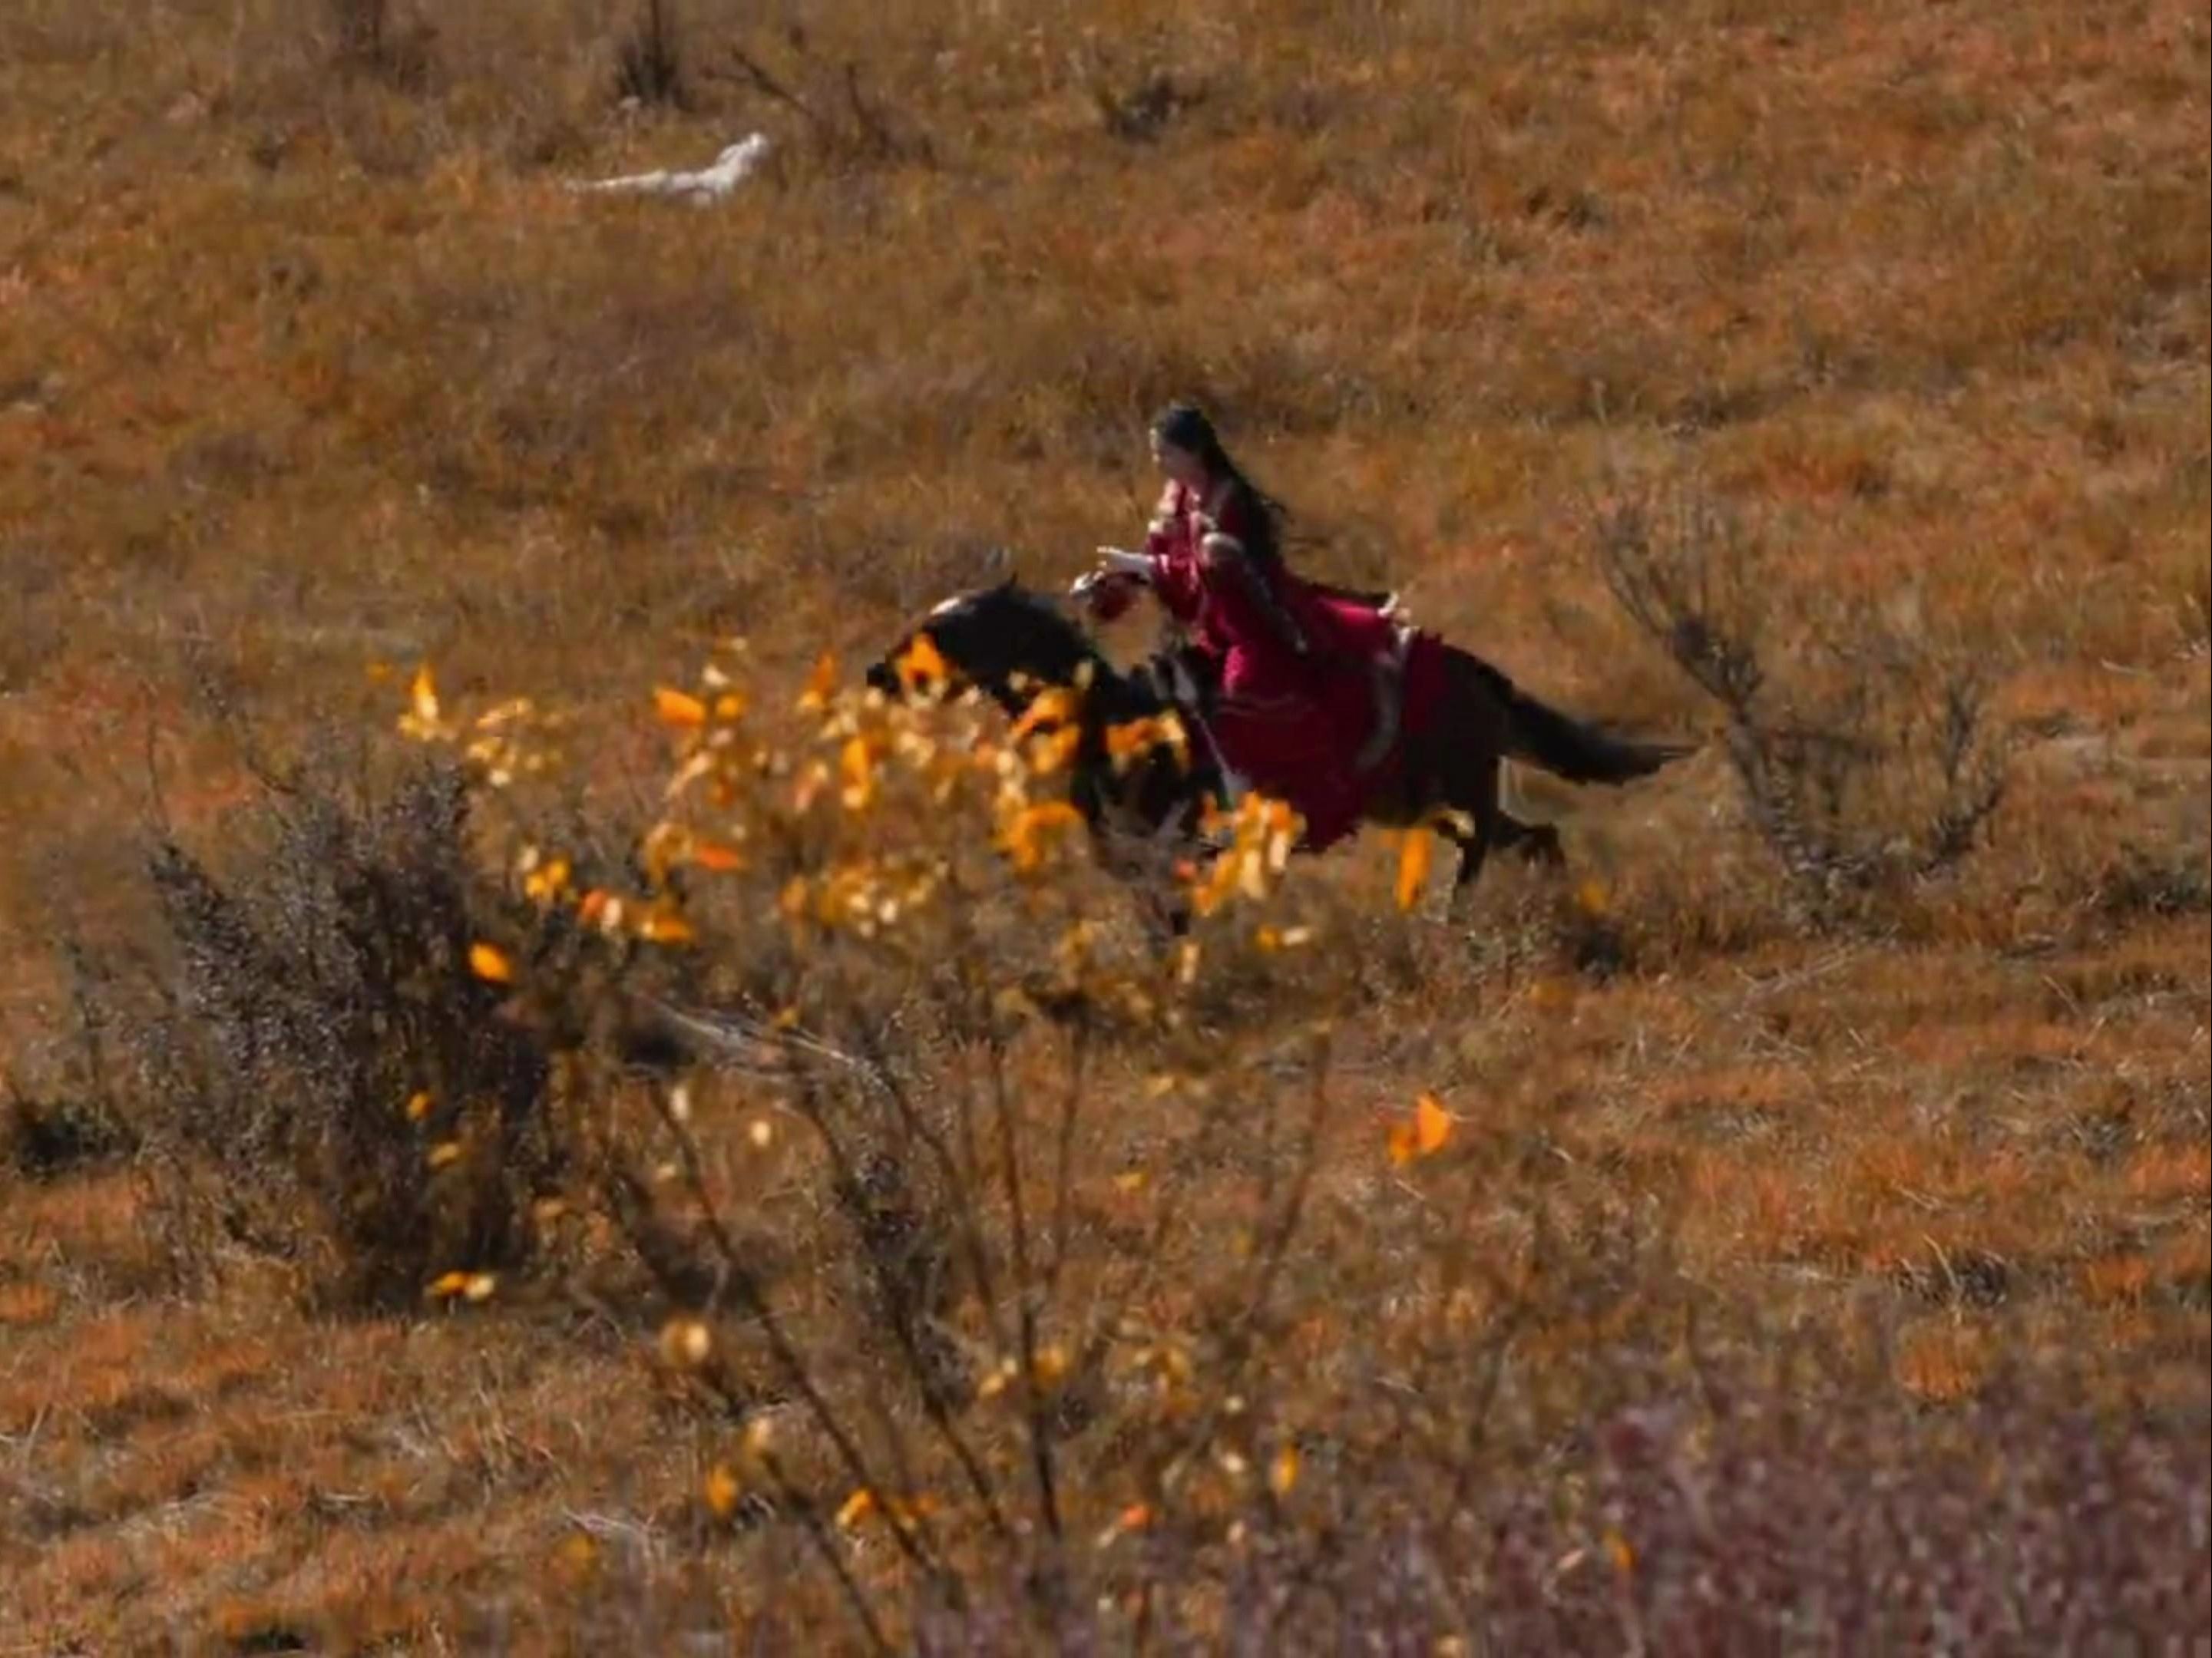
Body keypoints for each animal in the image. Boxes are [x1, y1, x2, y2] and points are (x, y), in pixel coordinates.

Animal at [867, 579, 1690, 902]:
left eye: (937, 633)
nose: (876, 673)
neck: (1110, 720)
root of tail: (1474, 671)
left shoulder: (1173, 851)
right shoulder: (1137, 861)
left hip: (1451, 785)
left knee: (1491, 842)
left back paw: (1454, 916)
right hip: (1417, 800)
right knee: (1531, 836)